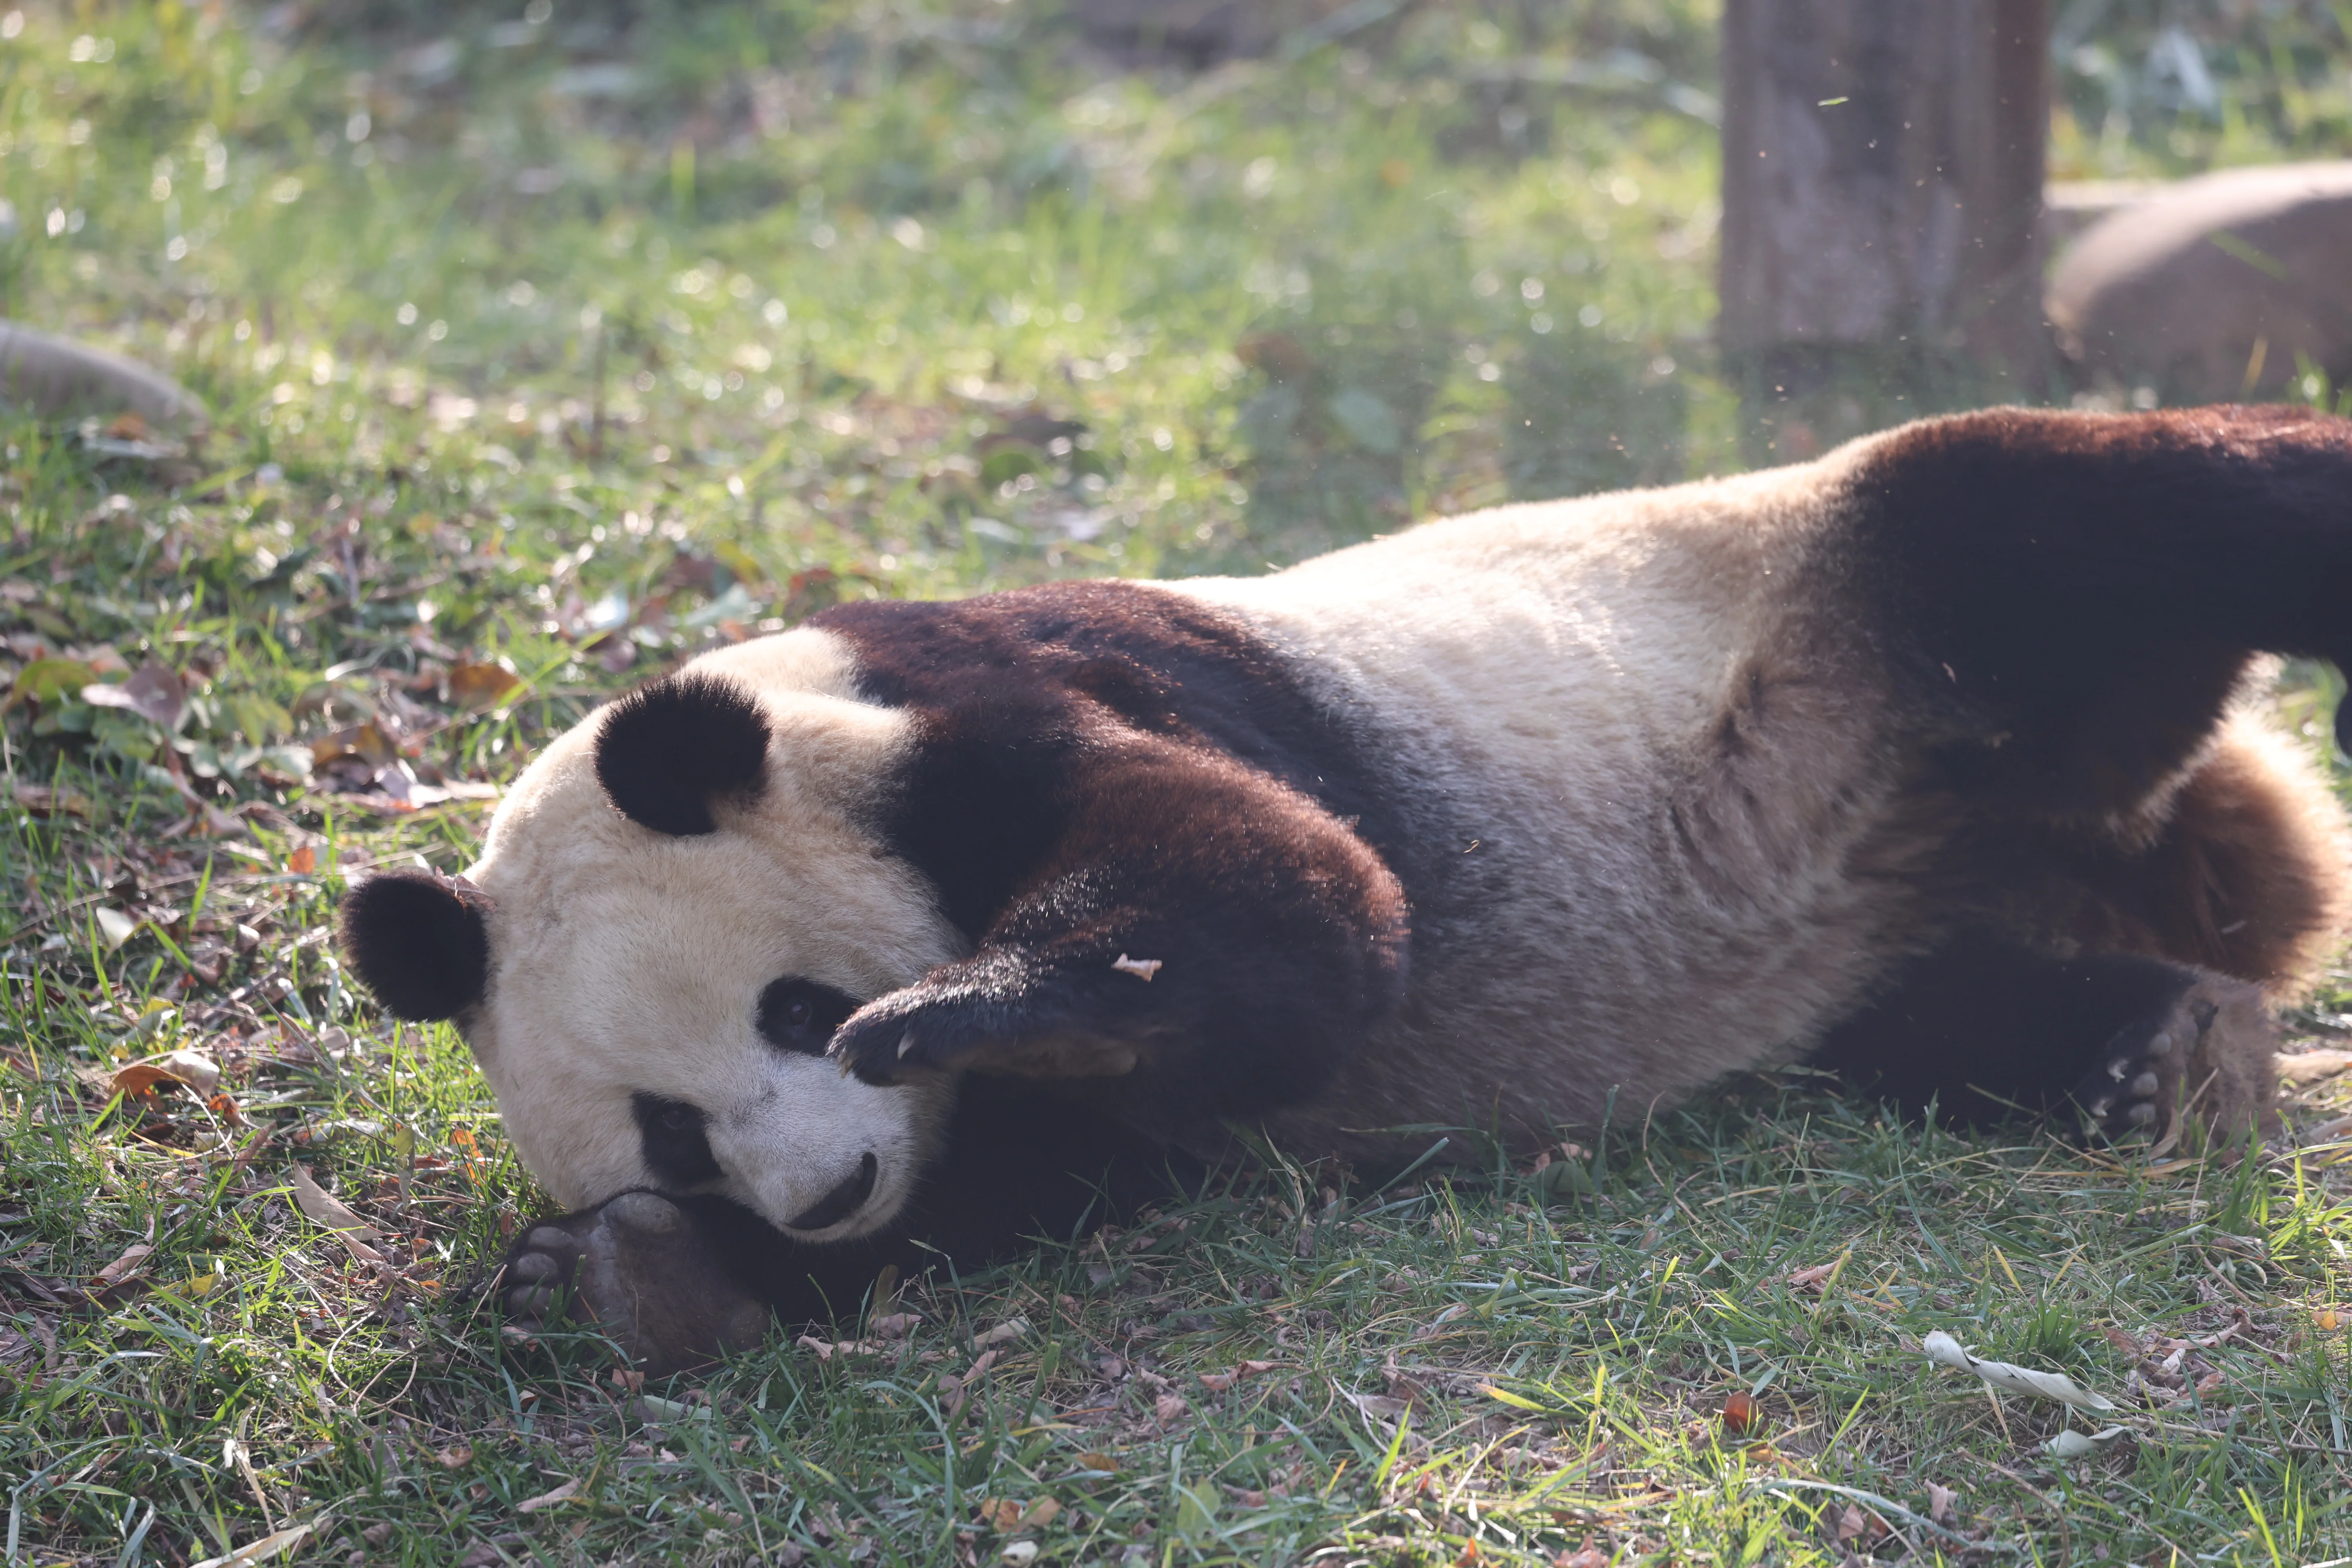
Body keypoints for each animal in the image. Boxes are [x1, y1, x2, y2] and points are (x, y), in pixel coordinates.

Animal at [341, 405, 2352, 1375]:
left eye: (800, 1010)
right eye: (672, 1131)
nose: (826, 1183)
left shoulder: (987, 715)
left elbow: (1303, 901)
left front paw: (992, 1004)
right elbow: (1047, 1178)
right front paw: (631, 1278)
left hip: (1831, 603)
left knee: (2075, 512)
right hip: (1875, 926)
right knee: (1939, 1013)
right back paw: (2157, 1049)